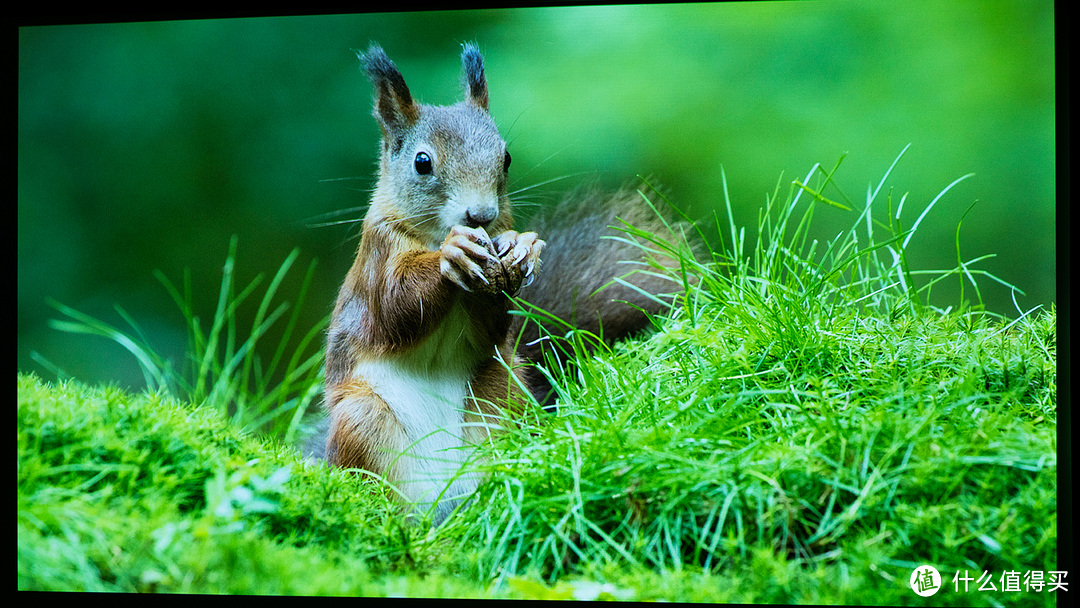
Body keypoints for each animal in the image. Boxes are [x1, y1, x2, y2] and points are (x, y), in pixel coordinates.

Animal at [315, 44, 682, 529]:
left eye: (506, 158)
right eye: (422, 162)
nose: (482, 215)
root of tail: (441, 503)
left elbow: (493, 325)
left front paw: (523, 248)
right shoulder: (377, 258)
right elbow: (395, 309)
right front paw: (452, 255)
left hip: (502, 403)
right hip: (362, 420)